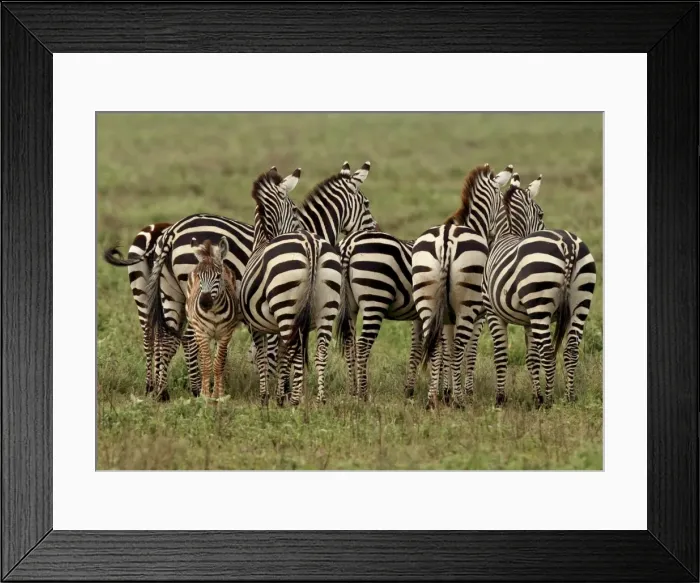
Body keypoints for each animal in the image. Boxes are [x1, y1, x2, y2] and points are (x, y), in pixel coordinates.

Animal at [103, 222, 173, 396]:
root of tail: (156, 232)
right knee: (161, 337)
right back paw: (160, 391)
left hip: (140, 288)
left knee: (149, 336)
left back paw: (149, 387)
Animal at [185, 237, 241, 399]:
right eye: (199, 276)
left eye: (218, 276)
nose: (204, 303)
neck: (214, 311)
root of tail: (209, 252)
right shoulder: (202, 333)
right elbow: (206, 364)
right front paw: (205, 395)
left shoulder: (225, 334)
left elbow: (218, 364)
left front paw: (219, 395)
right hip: (196, 328)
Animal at [241, 163, 373, 406]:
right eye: (366, 204)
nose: (373, 231)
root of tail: (310, 243)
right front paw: (288, 391)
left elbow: (283, 356)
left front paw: (283, 393)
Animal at [411, 163, 513, 409]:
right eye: (501, 201)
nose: (504, 230)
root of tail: (446, 238)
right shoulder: (480, 316)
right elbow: (469, 351)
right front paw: (463, 392)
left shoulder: (447, 316)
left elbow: (445, 349)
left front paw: (445, 392)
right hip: (468, 305)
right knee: (459, 346)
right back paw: (459, 402)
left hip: (426, 299)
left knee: (435, 345)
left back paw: (431, 400)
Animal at [472, 173, 597, 407]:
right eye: (541, 213)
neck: (507, 234)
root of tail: (568, 244)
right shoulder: (528, 321)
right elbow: (531, 358)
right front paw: (536, 397)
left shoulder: (494, 313)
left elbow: (501, 354)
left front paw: (500, 399)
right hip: (581, 301)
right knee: (571, 349)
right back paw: (569, 397)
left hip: (540, 305)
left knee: (548, 352)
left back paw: (550, 401)